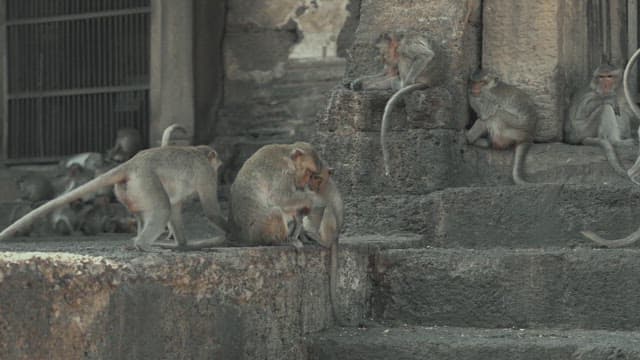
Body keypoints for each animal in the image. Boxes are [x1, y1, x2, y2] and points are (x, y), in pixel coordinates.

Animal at [348, 28, 442, 175]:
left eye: (379, 49)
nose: (381, 57)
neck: (397, 42)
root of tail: (431, 82)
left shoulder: (405, 45)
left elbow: (425, 55)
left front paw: (405, 84)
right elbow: (386, 73)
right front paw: (359, 82)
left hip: (420, 75)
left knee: (405, 58)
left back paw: (401, 84)